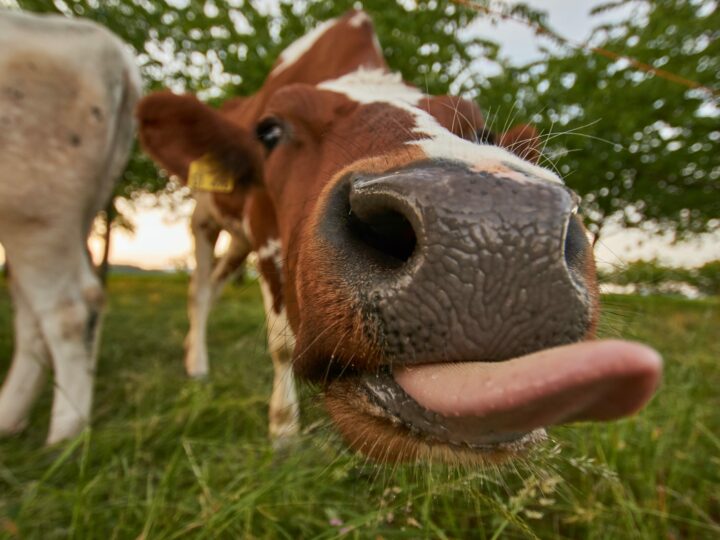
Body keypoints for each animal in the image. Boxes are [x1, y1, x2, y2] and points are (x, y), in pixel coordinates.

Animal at [138, 10, 660, 462]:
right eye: (269, 131)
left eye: (483, 131)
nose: (492, 234)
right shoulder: (265, 232)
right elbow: (282, 343)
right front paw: (283, 433)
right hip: (205, 219)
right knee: (200, 289)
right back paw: (197, 366)